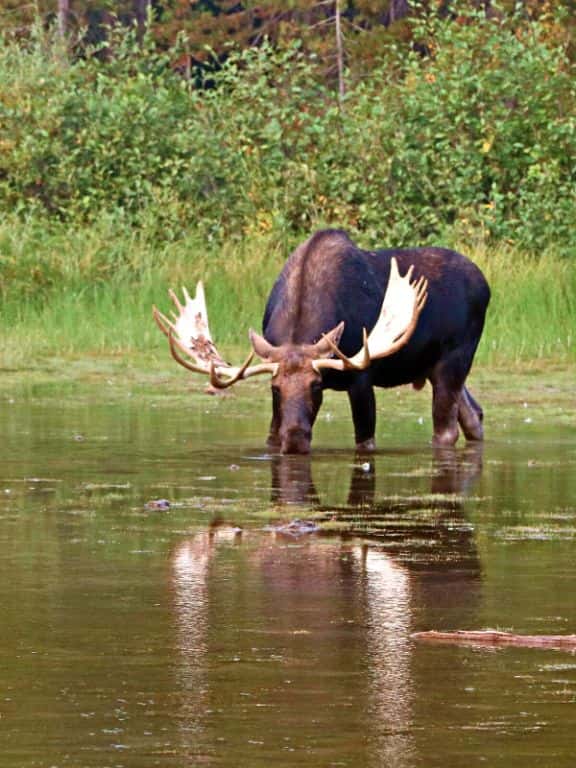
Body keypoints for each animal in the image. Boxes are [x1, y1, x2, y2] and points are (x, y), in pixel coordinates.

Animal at [154, 231, 490, 452]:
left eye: (317, 386)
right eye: (275, 389)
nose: (295, 439)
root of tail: (485, 285)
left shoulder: (360, 377)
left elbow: (365, 440)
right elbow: (270, 436)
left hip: (455, 360)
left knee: (446, 430)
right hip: (434, 368)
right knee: (474, 415)